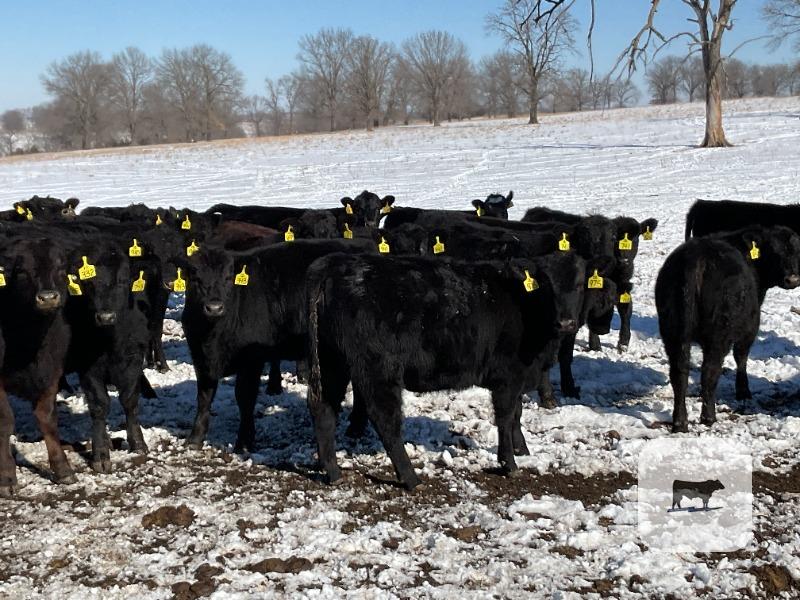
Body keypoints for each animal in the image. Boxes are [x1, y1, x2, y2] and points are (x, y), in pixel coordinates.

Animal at [0, 236, 74, 495]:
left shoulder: (52, 373)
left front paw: (62, 467)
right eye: (22, 271)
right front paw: (6, 477)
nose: (48, 297)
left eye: (61, 268)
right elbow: (5, 421)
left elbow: (48, 418)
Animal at [180, 238, 377, 450]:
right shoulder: (200, 358)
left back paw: (356, 427)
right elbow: (204, 398)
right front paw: (195, 438)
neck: (212, 337)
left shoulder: (251, 360)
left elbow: (244, 398)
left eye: (228, 278)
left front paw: (244, 442)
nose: (214, 307)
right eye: (195, 277)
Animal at [306, 251, 588, 489]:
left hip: (332, 362)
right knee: (385, 419)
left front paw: (523, 450)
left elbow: (517, 414)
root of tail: (333, 268)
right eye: (547, 285)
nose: (565, 322)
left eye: (580, 284)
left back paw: (333, 472)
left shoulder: (519, 376)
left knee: (324, 410)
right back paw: (411, 478)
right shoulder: (507, 376)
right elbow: (506, 417)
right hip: (378, 369)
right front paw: (509, 463)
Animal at [656, 225, 800, 433]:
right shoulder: (750, 326)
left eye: (796, 251)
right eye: (773, 252)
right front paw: (743, 391)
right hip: (719, 333)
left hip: (673, 332)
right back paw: (709, 417)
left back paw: (680, 422)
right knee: (710, 371)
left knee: (679, 373)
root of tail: (696, 256)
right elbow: (741, 356)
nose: (792, 279)